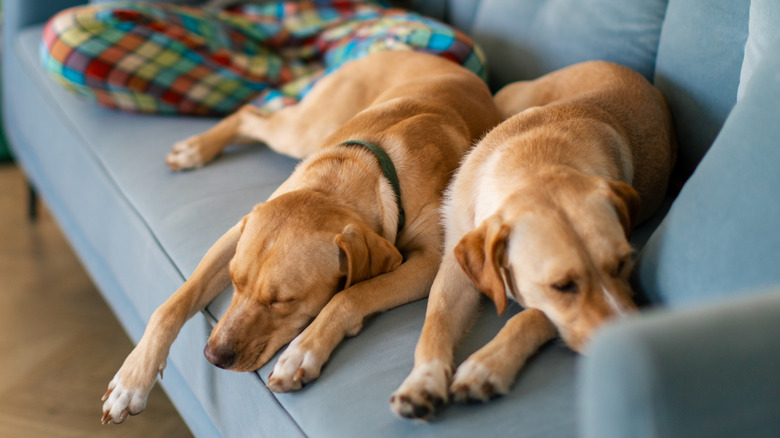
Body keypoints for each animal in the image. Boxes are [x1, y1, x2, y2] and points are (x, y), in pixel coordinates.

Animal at [100, 51, 500, 424]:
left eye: (283, 302)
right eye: (234, 281)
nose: (213, 356)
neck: (356, 174)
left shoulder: (429, 263)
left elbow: (350, 295)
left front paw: (302, 351)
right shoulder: (235, 233)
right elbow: (171, 305)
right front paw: (131, 381)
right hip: (305, 129)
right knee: (250, 115)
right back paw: (195, 148)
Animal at [390, 60, 676, 420]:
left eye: (623, 264)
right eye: (562, 286)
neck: (535, 163)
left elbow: (529, 316)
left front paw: (487, 364)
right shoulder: (455, 268)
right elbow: (435, 321)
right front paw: (422, 380)